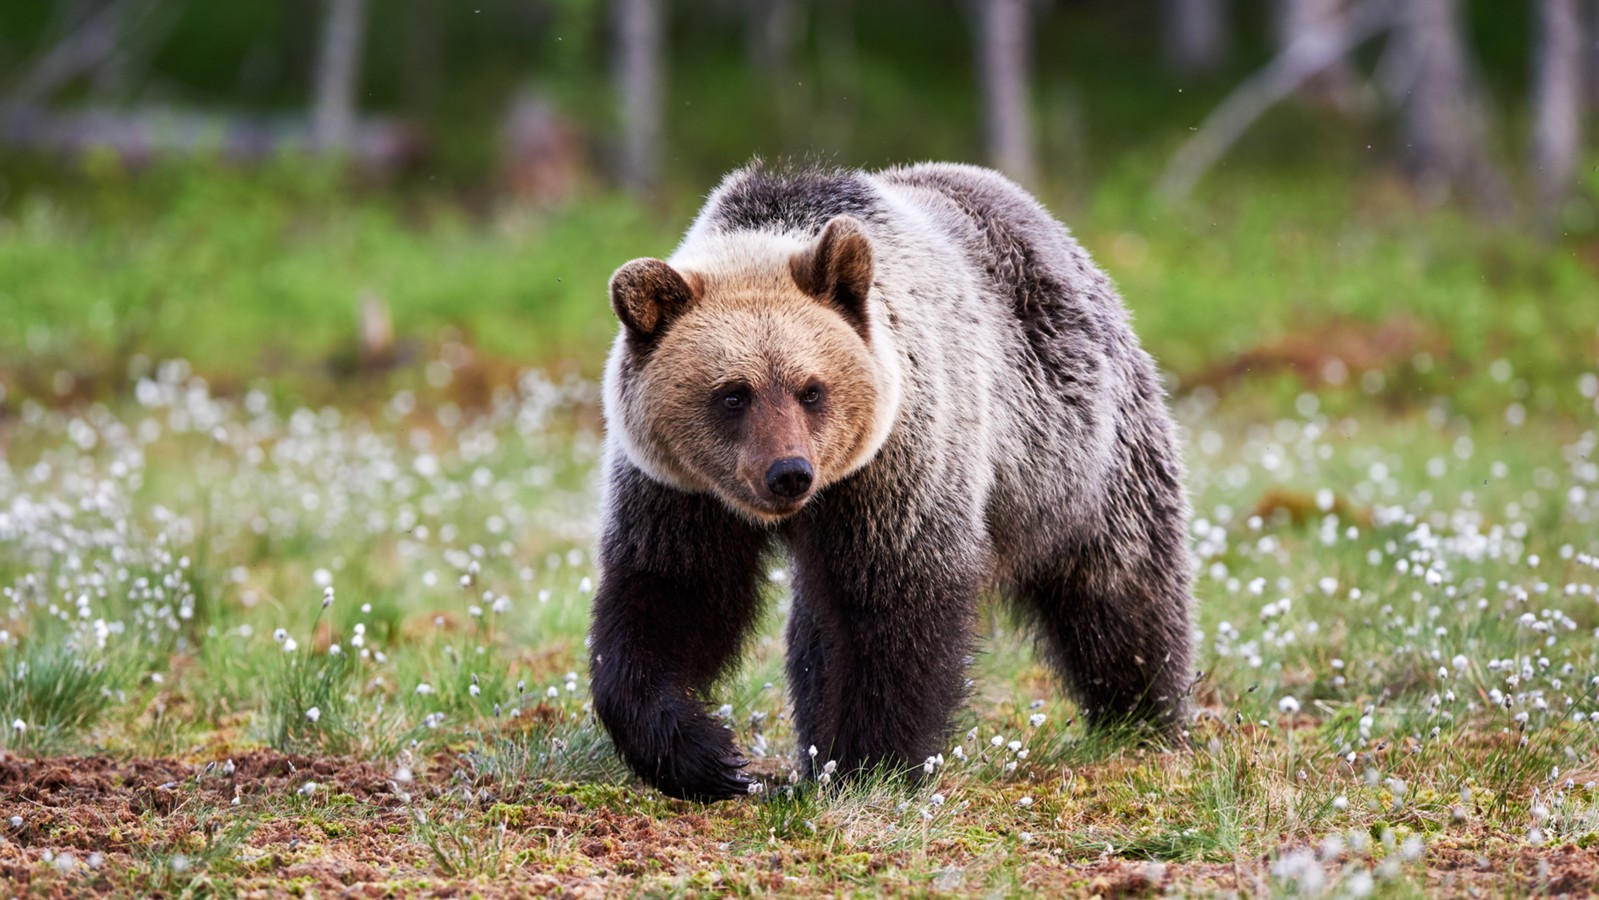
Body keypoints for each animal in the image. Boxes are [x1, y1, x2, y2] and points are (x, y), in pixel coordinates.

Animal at [588, 163, 1189, 802]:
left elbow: (897, 608)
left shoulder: (899, 466)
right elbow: (671, 597)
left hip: (1080, 454)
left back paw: (1143, 715)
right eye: (732, 394)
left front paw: (870, 762)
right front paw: (707, 756)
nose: (788, 473)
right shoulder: (680, 491)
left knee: (1122, 591)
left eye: (811, 389)